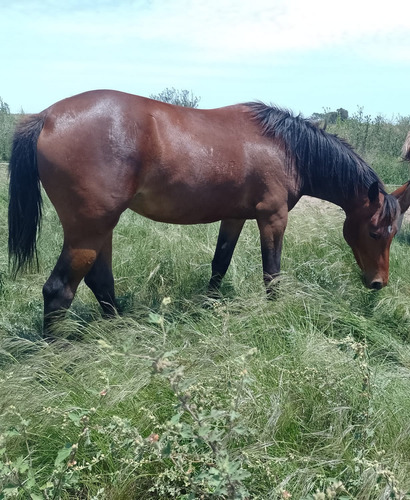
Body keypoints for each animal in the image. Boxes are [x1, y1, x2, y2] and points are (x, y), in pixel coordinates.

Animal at [5, 91, 410, 332]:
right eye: (375, 232)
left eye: (394, 233)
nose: (378, 283)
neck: (285, 147)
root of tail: (46, 117)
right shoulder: (273, 217)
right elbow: (272, 274)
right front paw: (275, 313)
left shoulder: (234, 216)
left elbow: (219, 263)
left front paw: (210, 308)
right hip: (88, 229)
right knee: (59, 291)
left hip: (101, 228)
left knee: (100, 281)